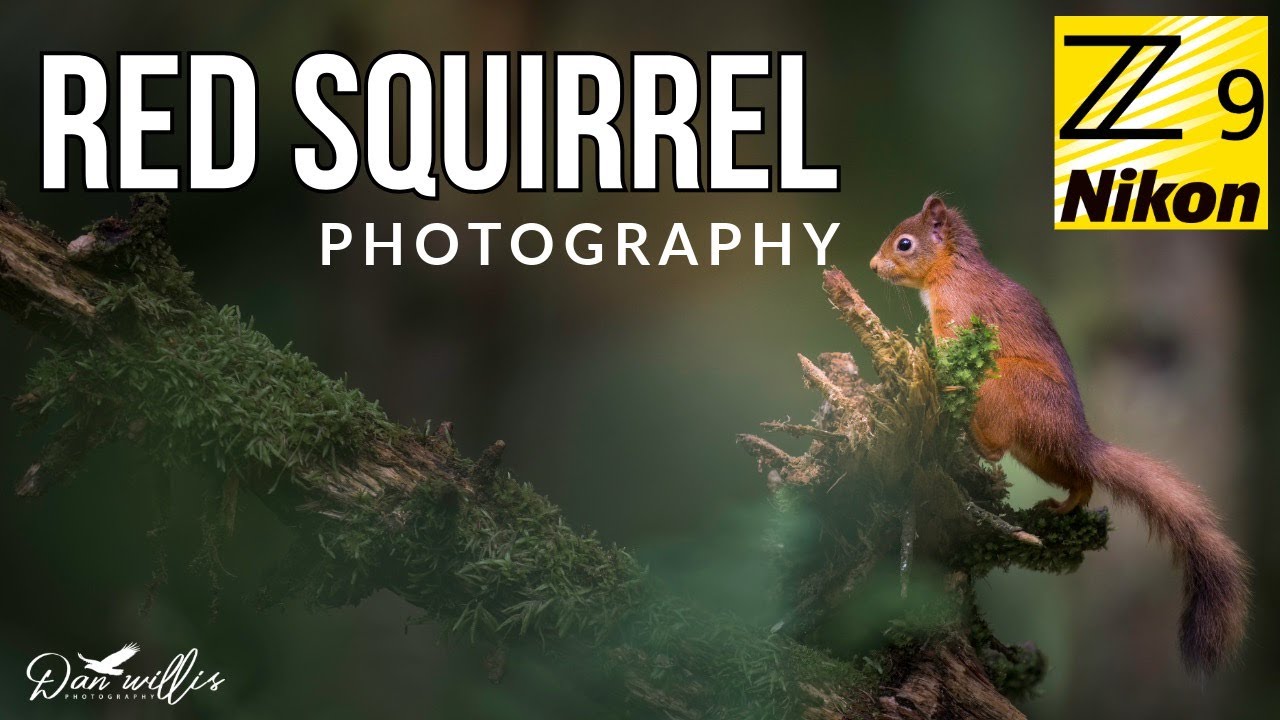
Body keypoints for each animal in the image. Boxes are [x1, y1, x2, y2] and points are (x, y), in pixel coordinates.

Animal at [869, 195, 1249, 675]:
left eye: (905, 243)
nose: (873, 265)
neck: (952, 269)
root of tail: (1078, 438)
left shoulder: (962, 314)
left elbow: (951, 344)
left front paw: (938, 366)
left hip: (1008, 386)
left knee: (999, 451)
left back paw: (976, 437)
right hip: (1040, 455)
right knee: (1080, 479)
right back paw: (1062, 504)